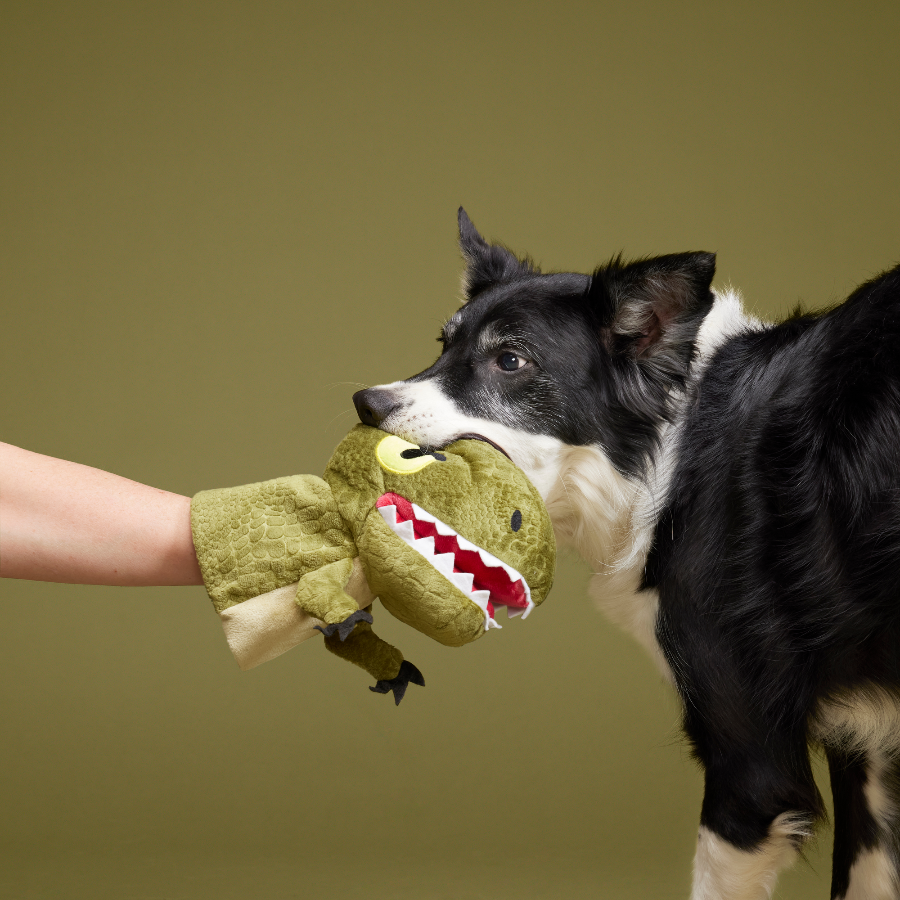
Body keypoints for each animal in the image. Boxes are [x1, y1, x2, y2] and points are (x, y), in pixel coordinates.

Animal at [352, 209, 900, 900]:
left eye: (510, 359)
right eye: (443, 344)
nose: (365, 404)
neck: (668, 452)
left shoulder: (751, 761)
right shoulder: (870, 748)